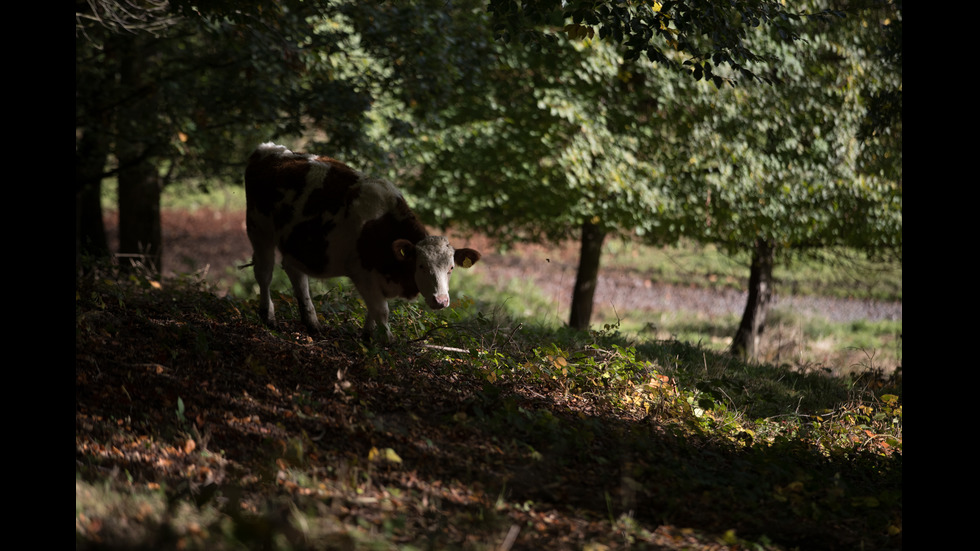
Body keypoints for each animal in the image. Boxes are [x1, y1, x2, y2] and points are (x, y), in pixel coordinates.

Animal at [241, 143, 478, 340]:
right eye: (420, 266)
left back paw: (312, 322)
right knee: (264, 272)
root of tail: (270, 149)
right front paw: (388, 342)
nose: (441, 301)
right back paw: (268, 316)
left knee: (296, 273)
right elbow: (381, 310)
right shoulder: (362, 273)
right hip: (258, 228)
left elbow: (374, 311)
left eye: (451, 268)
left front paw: (367, 335)